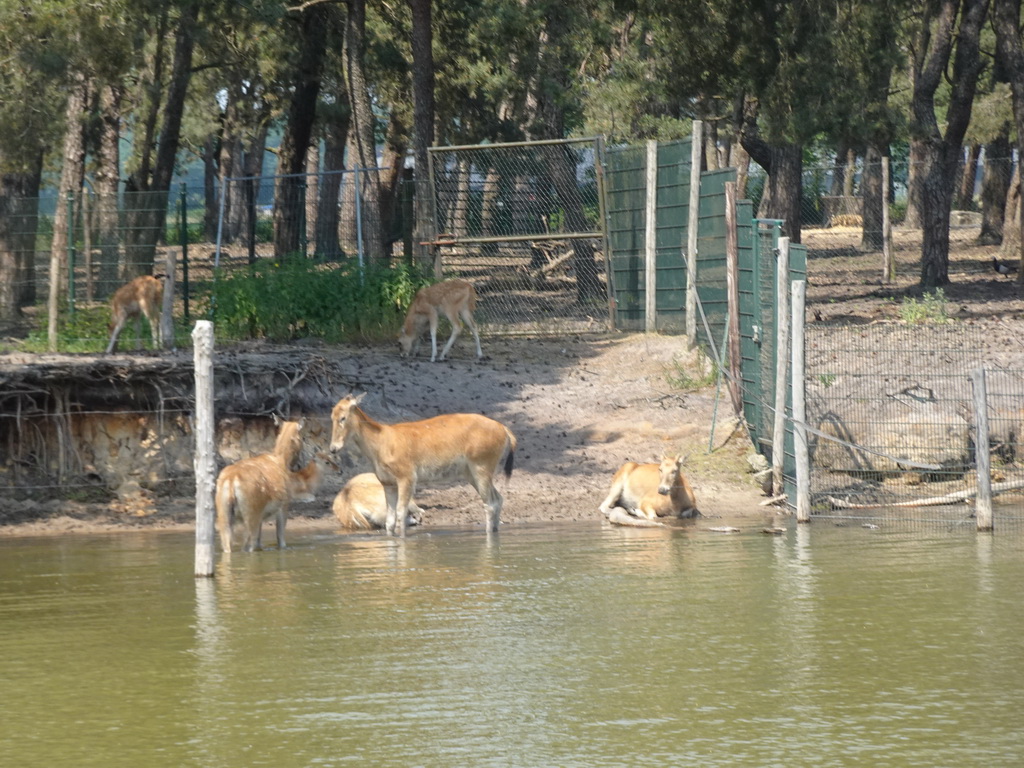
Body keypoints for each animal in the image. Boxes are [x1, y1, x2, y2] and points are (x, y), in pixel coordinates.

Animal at [214, 415, 313, 552]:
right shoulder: (284, 503)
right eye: (303, 437)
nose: (300, 463)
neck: (282, 462)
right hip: (252, 511)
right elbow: (280, 538)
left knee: (228, 544)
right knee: (249, 545)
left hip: (223, 512)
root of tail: (231, 480)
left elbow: (260, 542)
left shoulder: (262, 515)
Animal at [329, 391, 516, 536]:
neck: (382, 443)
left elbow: (400, 513)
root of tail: (504, 430)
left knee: (490, 504)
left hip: (481, 466)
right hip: (472, 472)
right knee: (498, 499)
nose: (333, 448)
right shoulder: (387, 482)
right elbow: (390, 521)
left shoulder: (407, 477)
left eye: (343, 417)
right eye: (332, 416)